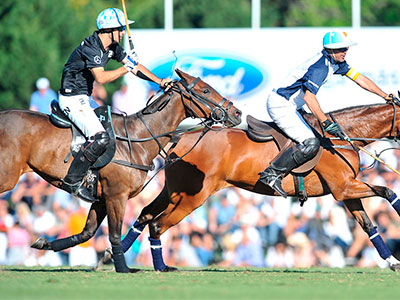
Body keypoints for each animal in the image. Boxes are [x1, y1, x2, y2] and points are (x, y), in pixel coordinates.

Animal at [3, 69, 241, 274]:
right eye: (205, 90)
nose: (236, 113)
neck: (136, 138)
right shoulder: (117, 195)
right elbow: (115, 234)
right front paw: (123, 267)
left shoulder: (100, 198)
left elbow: (86, 233)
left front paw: (45, 243)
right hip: (7, 178)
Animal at [120, 101, 400, 272]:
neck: (339, 137)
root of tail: (180, 137)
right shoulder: (344, 188)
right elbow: (388, 192)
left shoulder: (347, 191)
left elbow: (369, 226)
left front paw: (393, 261)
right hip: (192, 198)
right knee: (157, 224)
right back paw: (158, 266)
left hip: (172, 190)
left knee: (144, 214)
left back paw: (117, 254)